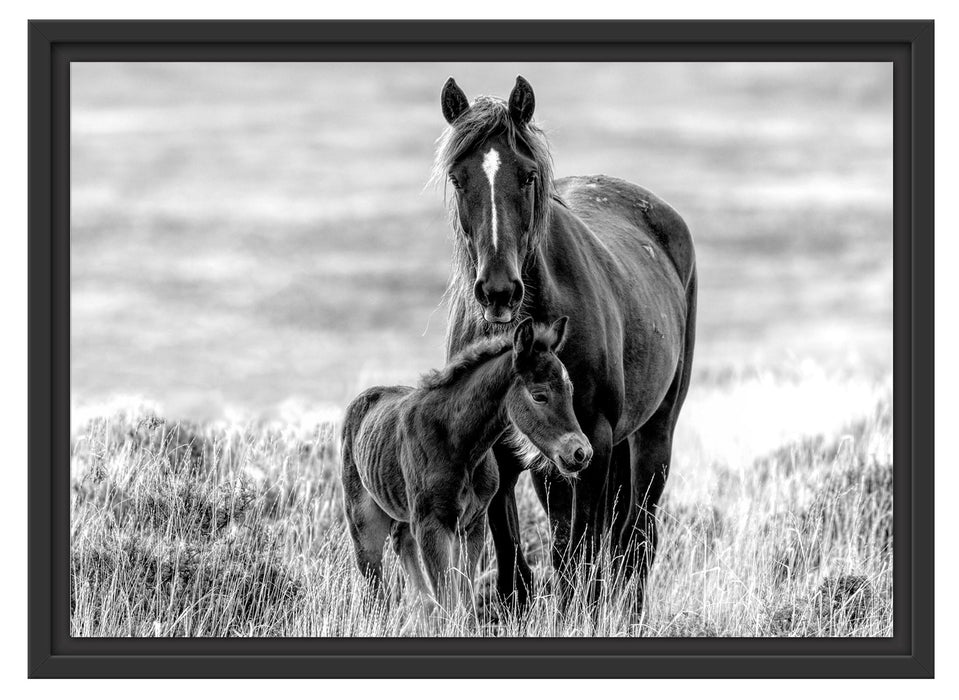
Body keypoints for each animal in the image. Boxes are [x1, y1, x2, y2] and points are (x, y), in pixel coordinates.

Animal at [342, 318, 588, 608]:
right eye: (539, 395)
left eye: (570, 390)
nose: (581, 453)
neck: (459, 446)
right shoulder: (432, 526)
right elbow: (448, 599)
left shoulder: (472, 525)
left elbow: (464, 597)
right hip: (363, 520)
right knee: (374, 581)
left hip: (405, 515)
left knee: (406, 556)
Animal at [436, 75, 696, 612]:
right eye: (457, 178)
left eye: (528, 176)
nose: (498, 291)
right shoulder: (504, 457)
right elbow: (517, 568)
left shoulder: (592, 441)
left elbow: (582, 559)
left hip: (651, 435)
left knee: (636, 542)